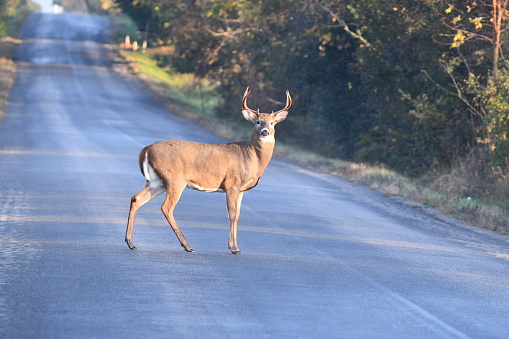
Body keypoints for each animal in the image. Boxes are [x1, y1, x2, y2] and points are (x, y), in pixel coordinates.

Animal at [124, 87, 290, 255]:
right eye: (257, 122)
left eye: (272, 123)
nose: (265, 132)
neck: (251, 157)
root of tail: (147, 148)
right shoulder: (232, 184)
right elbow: (232, 214)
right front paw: (234, 248)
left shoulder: (242, 190)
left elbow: (237, 215)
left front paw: (235, 247)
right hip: (175, 179)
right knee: (167, 208)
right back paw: (187, 246)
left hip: (157, 181)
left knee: (136, 199)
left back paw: (130, 242)